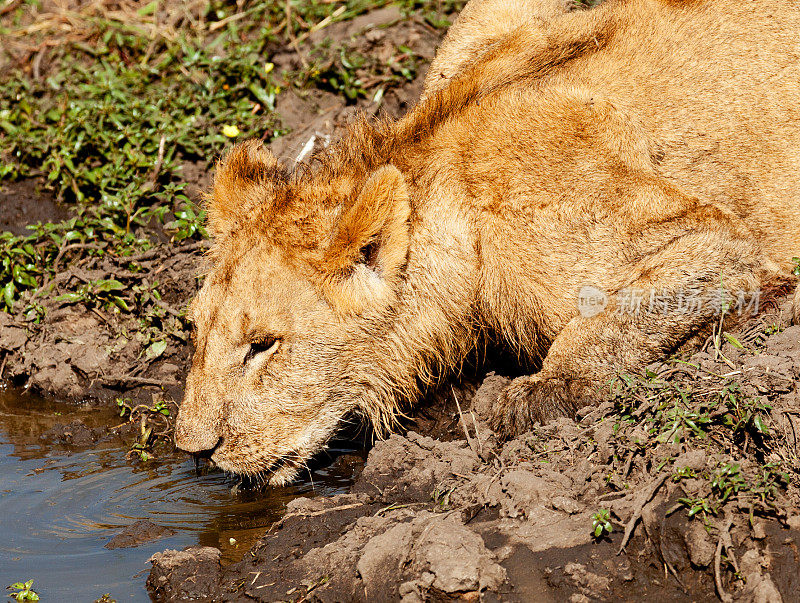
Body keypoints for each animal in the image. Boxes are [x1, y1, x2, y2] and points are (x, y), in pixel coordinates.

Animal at [175, 0, 800, 484]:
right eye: (196, 331)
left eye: (263, 345)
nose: (194, 451)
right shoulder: (490, 20)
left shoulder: (714, 240)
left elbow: (617, 316)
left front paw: (529, 395)